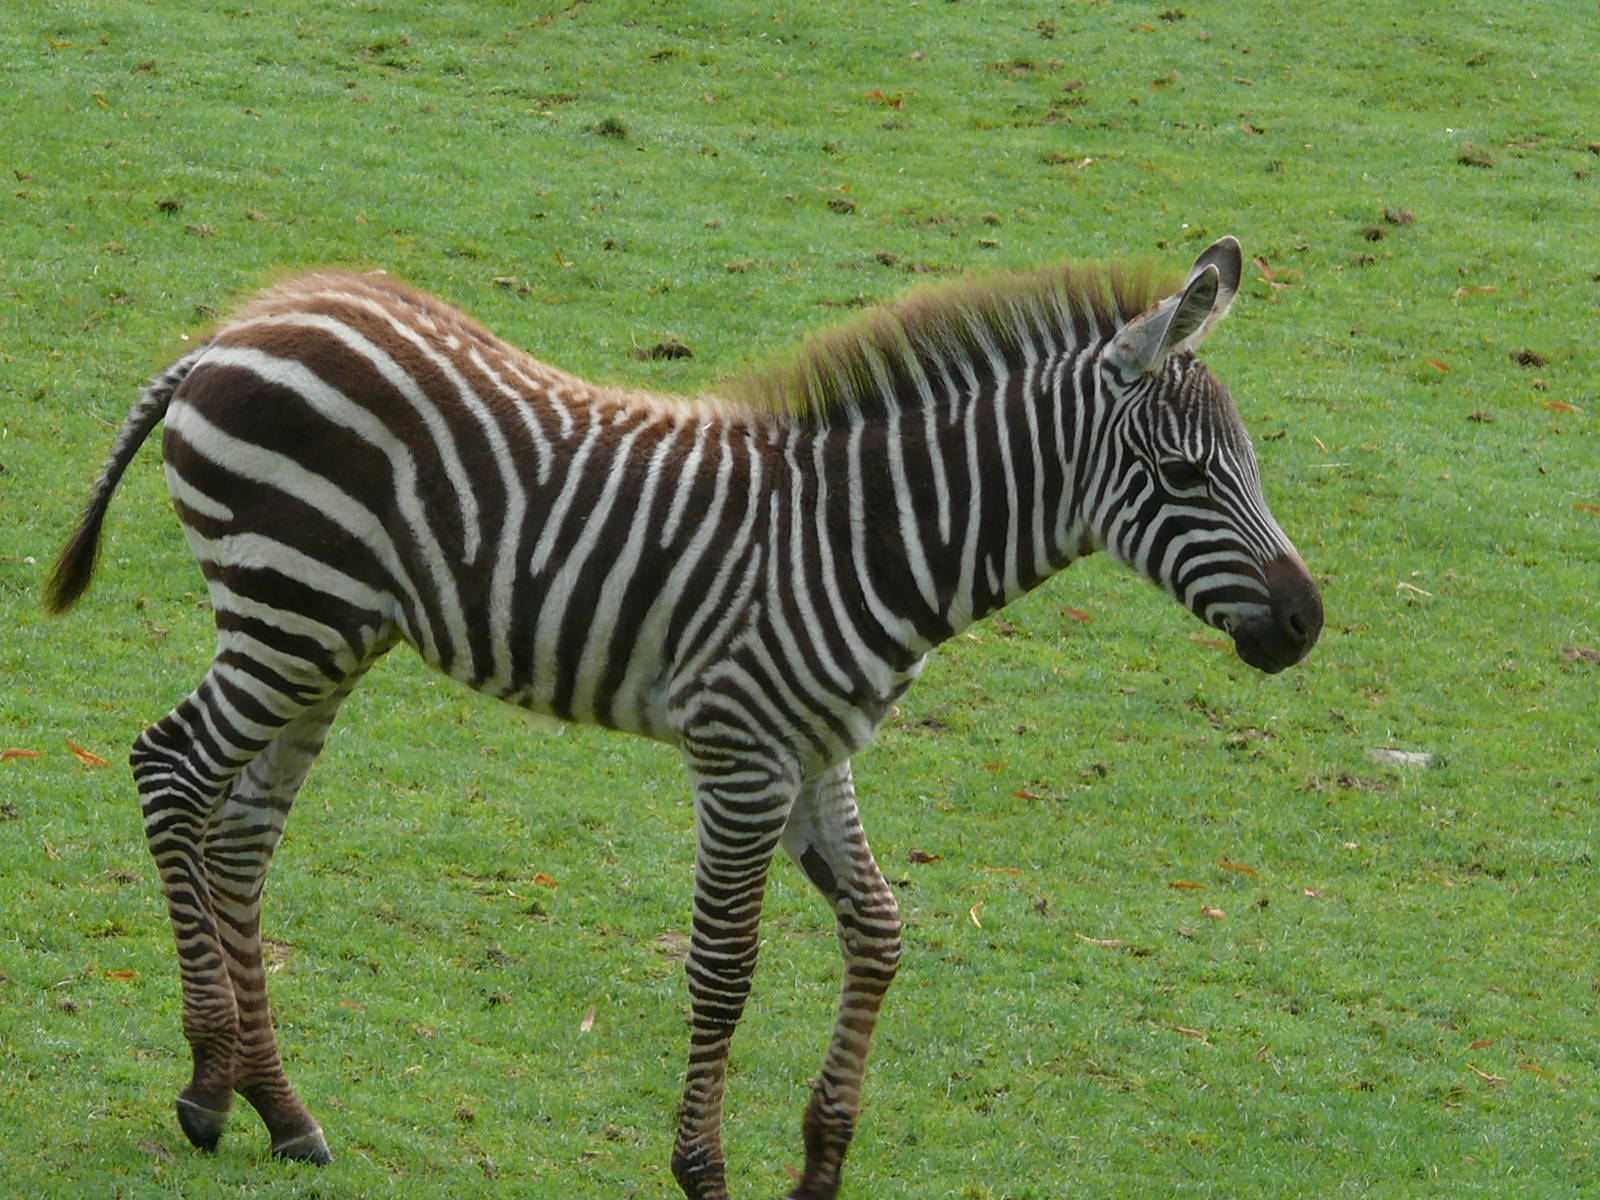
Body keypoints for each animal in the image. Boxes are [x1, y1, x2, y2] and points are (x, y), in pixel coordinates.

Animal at [46, 235, 1321, 1199]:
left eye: (1248, 466)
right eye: (1182, 477)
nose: (1306, 626)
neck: (863, 538)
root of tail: (231, 331)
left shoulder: (817, 753)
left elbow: (879, 932)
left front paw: (820, 1165)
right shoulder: (741, 753)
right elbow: (724, 966)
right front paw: (702, 1170)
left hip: (328, 635)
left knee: (240, 834)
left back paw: (275, 1106)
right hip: (286, 611)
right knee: (170, 771)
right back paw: (206, 1084)